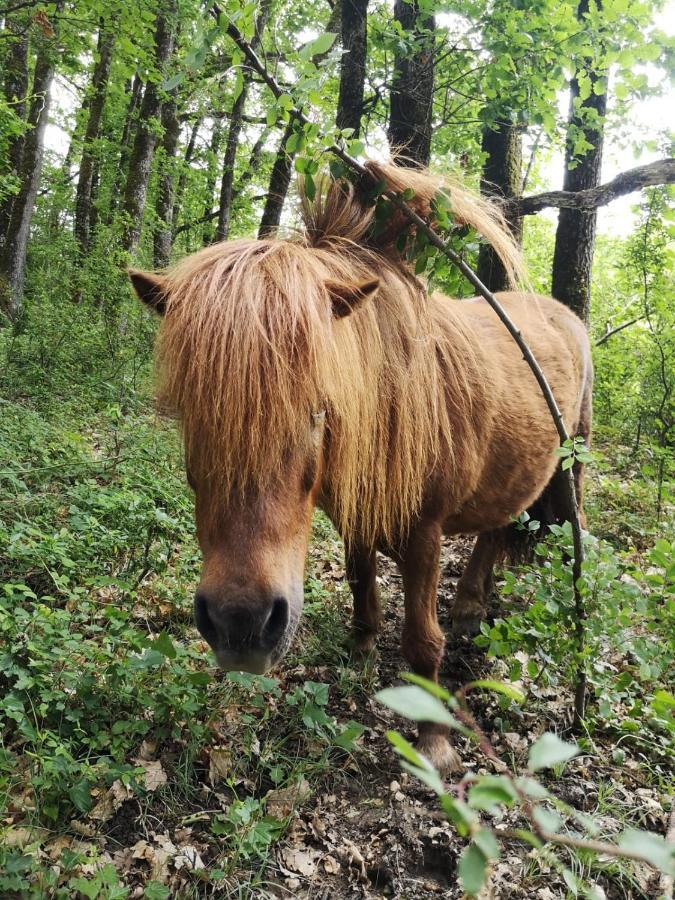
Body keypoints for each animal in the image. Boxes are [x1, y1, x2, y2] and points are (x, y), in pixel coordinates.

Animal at [131, 158, 592, 768]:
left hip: (571, 463)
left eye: (318, 408)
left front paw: (435, 742)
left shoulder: (424, 532)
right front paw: (362, 645)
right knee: (498, 527)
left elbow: (422, 640)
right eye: (187, 411)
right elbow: (358, 578)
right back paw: (473, 604)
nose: (240, 624)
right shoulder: (352, 510)